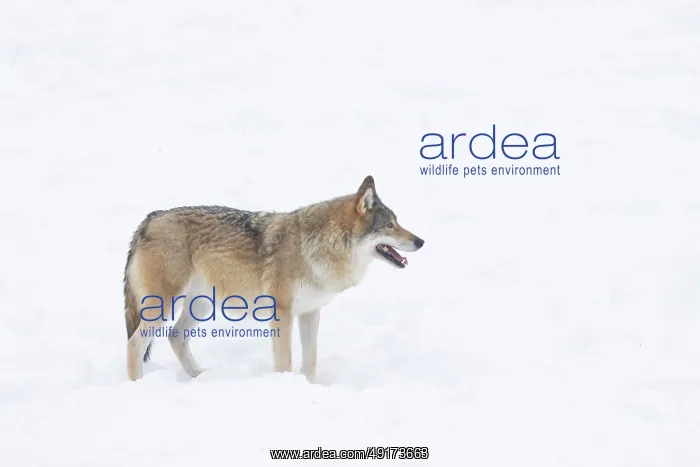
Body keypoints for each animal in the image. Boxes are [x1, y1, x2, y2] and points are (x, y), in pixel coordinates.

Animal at [123, 175, 424, 381]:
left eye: (397, 222)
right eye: (390, 226)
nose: (420, 241)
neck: (317, 247)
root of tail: (149, 219)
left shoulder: (310, 313)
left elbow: (310, 361)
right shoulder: (282, 312)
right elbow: (286, 363)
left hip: (201, 304)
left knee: (175, 336)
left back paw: (200, 376)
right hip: (164, 306)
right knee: (135, 344)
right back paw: (138, 385)